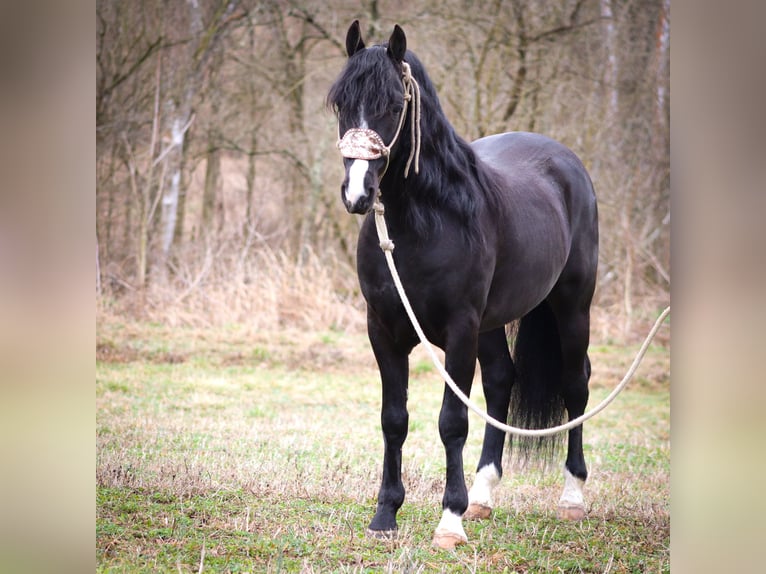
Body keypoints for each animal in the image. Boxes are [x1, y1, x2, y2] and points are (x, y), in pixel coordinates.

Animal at [326, 22, 600, 552]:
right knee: (500, 381)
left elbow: (451, 422)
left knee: (576, 385)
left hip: (573, 307)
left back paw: (573, 498)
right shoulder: (383, 331)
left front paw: (449, 522)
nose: (357, 194)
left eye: (395, 105)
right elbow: (395, 419)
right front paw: (385, 515)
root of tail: (567, 163)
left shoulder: (458, 331)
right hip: (492, 324)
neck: (429, 219)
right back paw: (484, 494)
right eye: (340, 104)